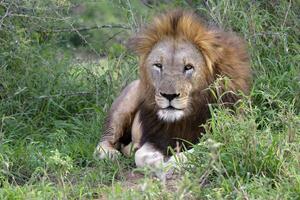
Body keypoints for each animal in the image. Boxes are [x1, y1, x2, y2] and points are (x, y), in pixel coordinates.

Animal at [94, 9, 251, 171]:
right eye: (158, 65)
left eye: (188, 67)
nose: (169, 96)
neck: (186, 117)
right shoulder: (157, 136)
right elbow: (140, 156)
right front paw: (157, 161)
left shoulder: (232, 129)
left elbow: (203, 147)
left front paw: (175, 161)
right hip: (126, 101)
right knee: (106, 138)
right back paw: (109, 153)